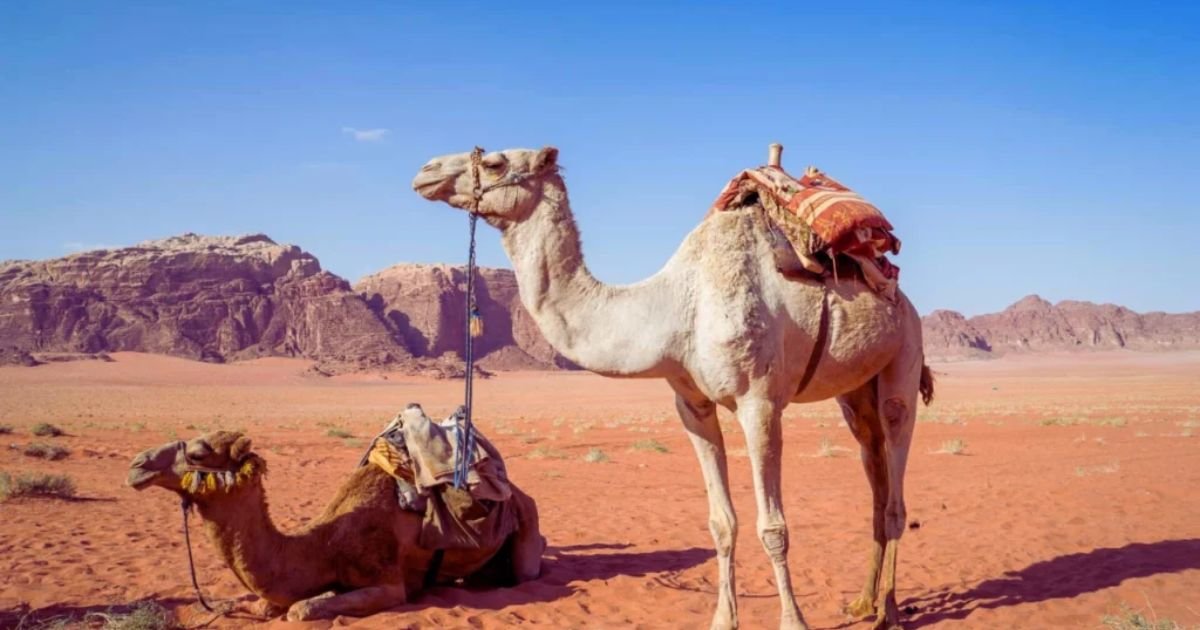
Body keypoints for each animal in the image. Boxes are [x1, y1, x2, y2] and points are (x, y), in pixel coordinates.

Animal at [127, 428, 545, 621]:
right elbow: (264, 604)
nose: (138, 465)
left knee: (528, 568)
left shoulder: (389, 583)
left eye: (198, 453)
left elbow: (300, 609)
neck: (324, 545)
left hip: (526, 516)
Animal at [412, 146, 934, 630]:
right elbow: (721, 523)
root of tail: (900, 295)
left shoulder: (759, 402)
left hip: (904, 355)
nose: (425, 171)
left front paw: (793, 621)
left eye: (496, 163)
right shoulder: (692, 405)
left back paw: (889, 612)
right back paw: (863, 603)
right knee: (873, 471)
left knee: (894, 483)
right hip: (855, 390)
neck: (675, 308)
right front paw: (723, 619)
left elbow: (773, 526)